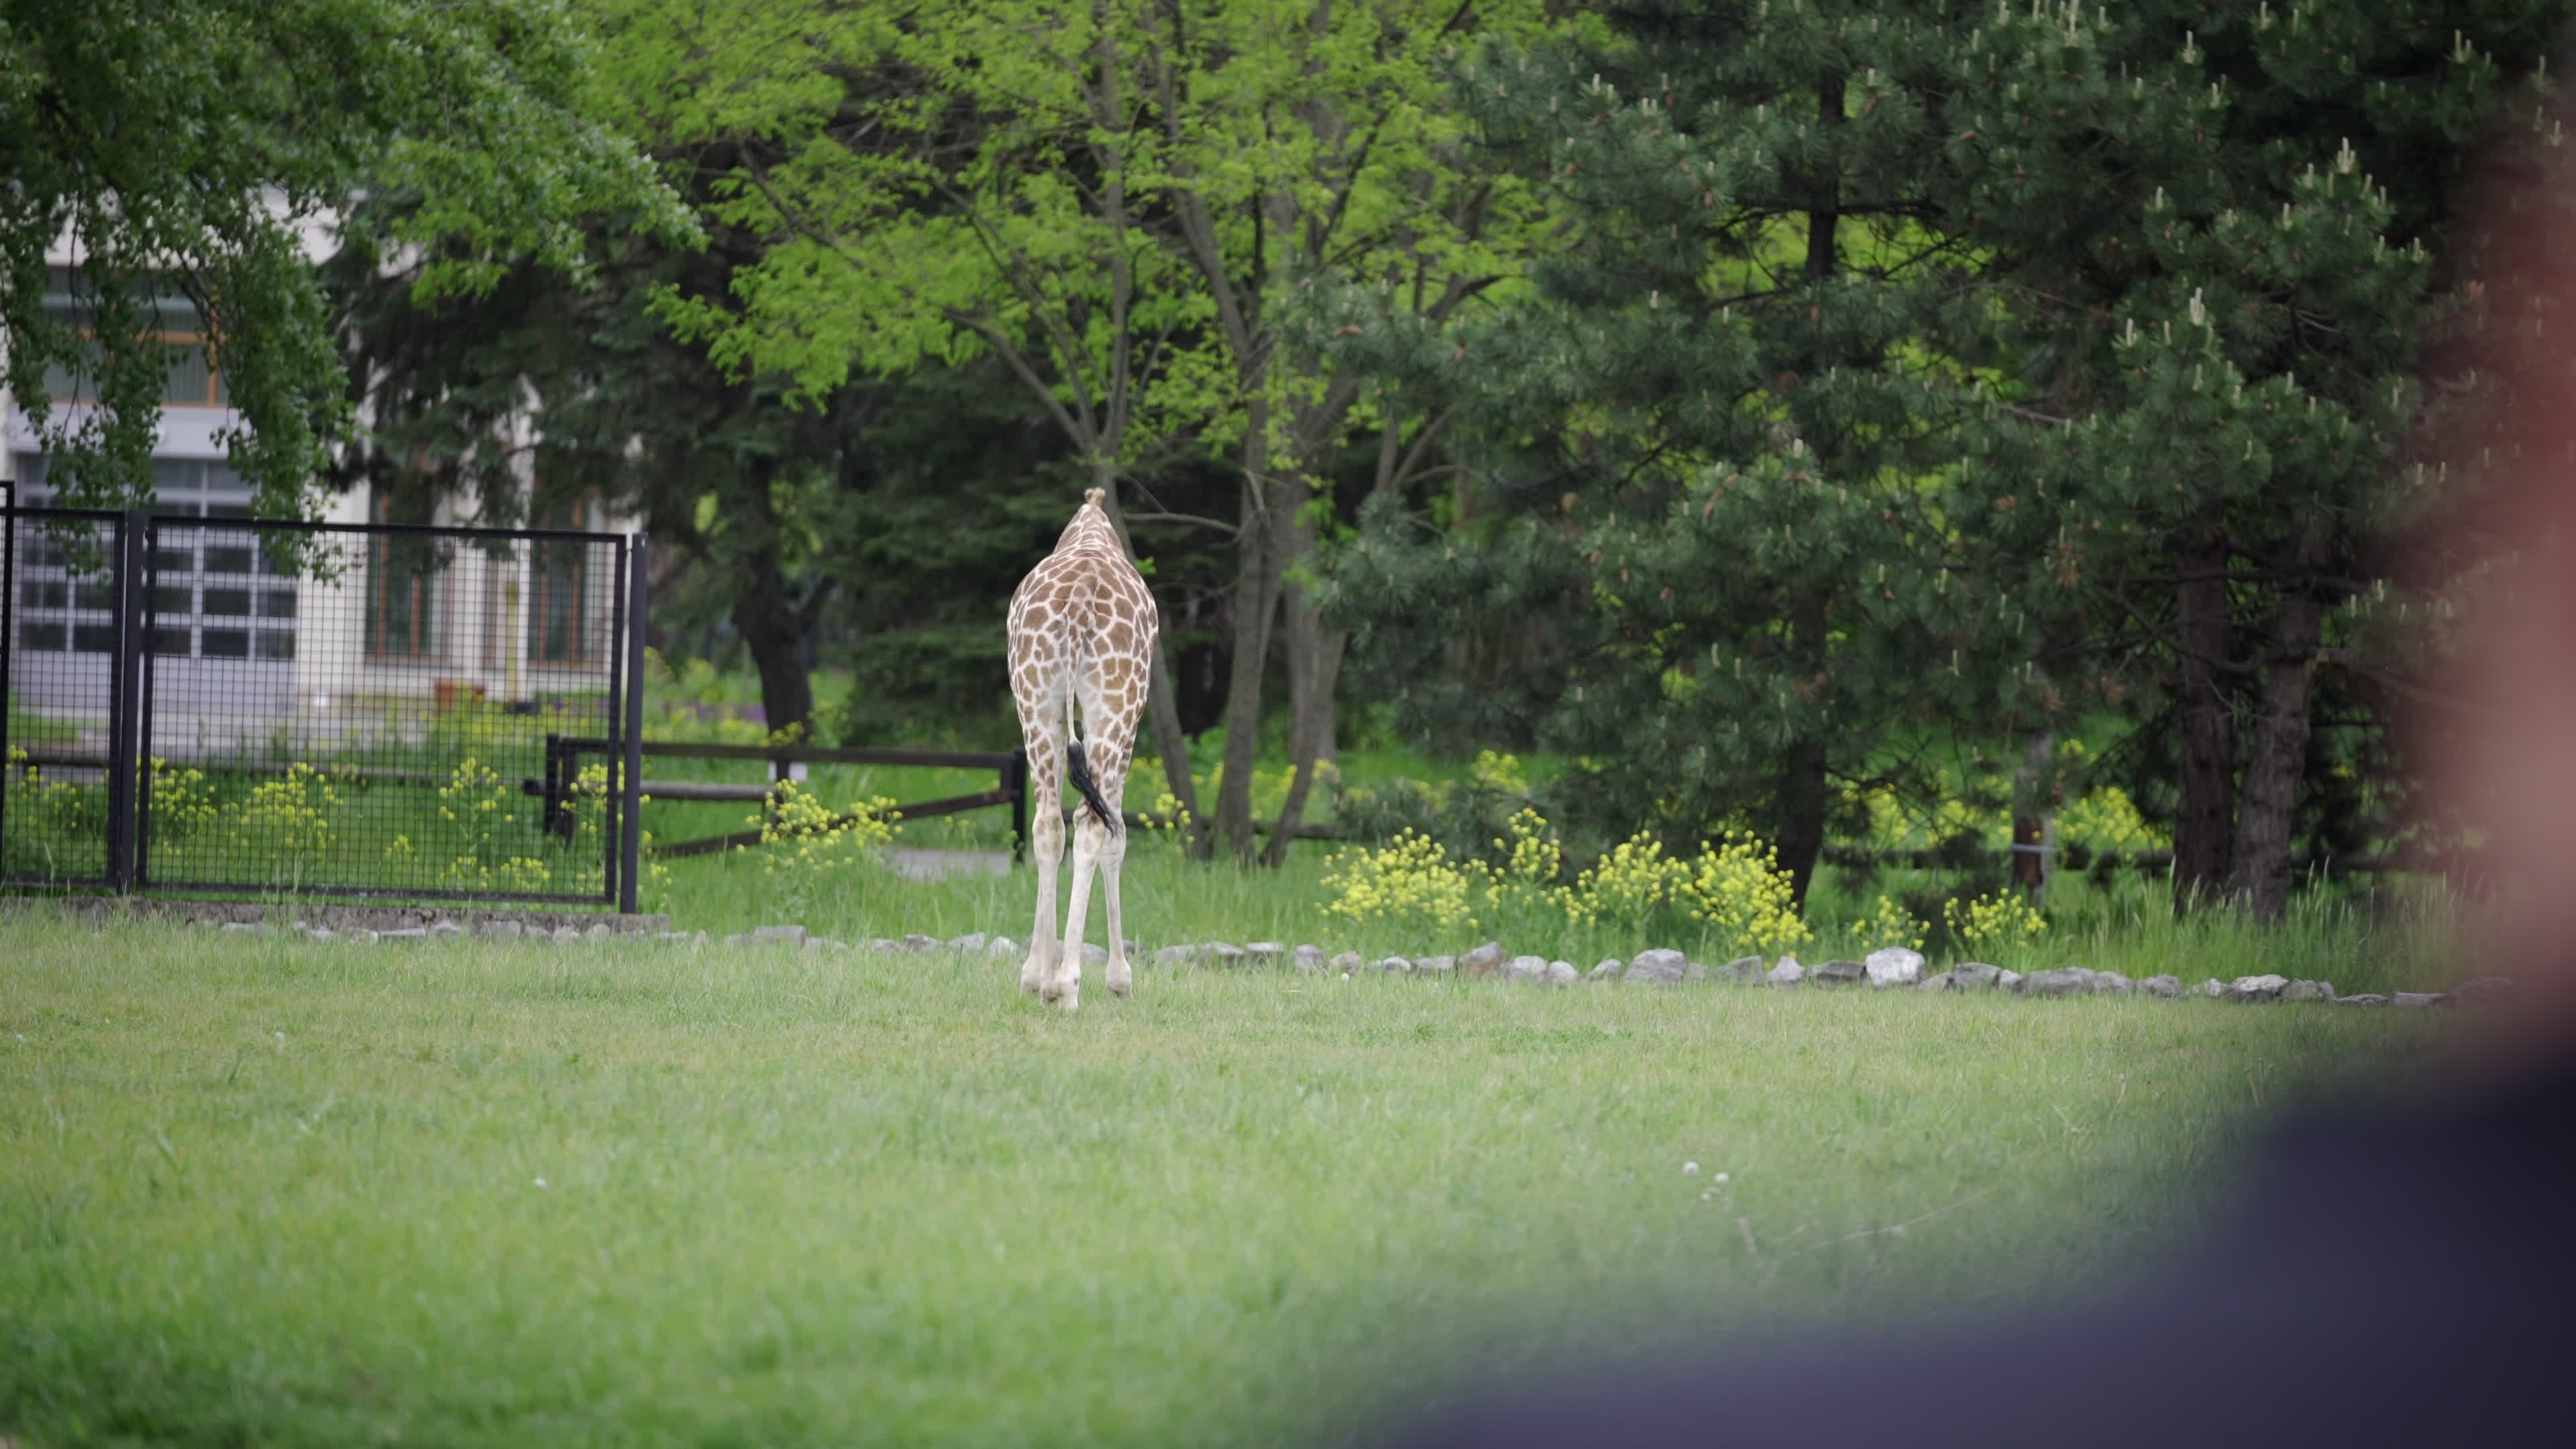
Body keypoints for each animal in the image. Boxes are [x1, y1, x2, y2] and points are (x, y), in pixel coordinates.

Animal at [1006, 487, 1157, 1009]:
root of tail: (1081, 598)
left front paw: (1034, 973)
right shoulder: (1131, 727)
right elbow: (1119, 835)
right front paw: (1120, 979)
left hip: (1035, 697)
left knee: (1048, 824)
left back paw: (1045, 980)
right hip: (1116, 704)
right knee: (1094, 823)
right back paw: (1068, 984)